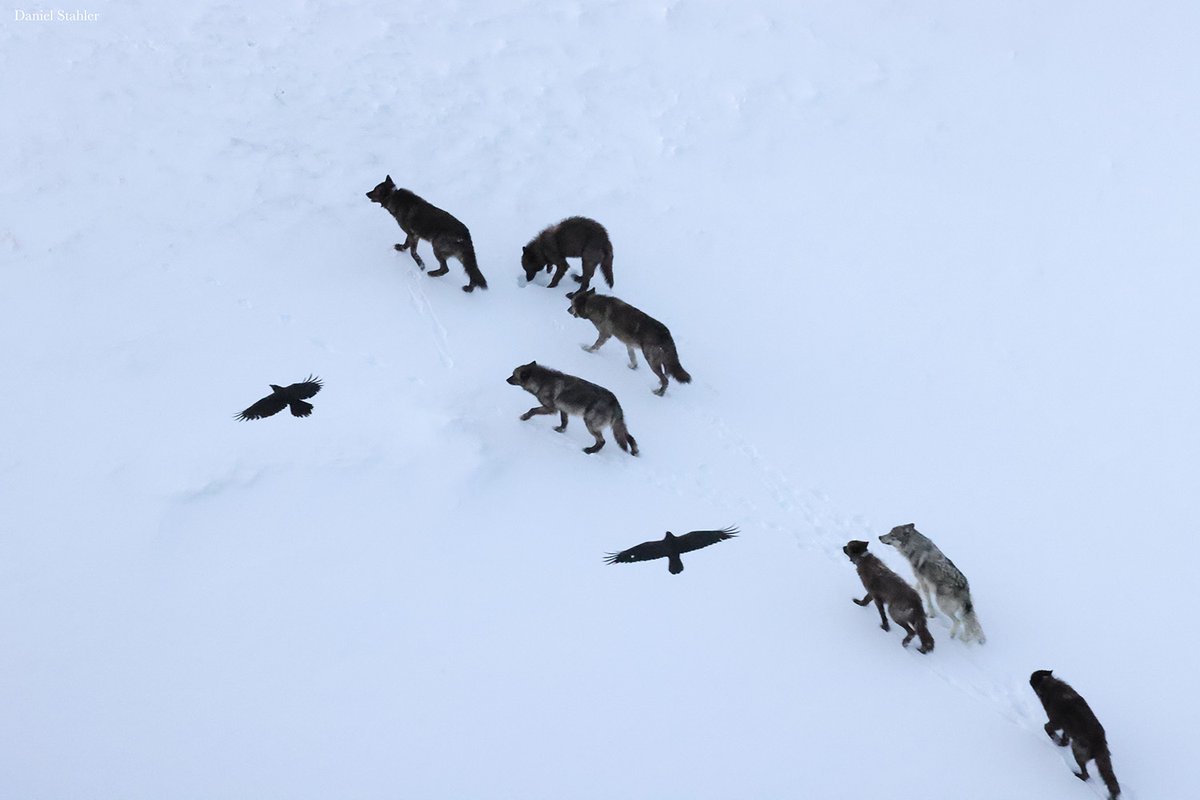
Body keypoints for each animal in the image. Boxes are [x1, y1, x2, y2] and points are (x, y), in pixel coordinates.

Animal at [506, 361, 638, 455]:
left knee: (602, 441)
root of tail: (615, 401)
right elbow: (564, 422)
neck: (542, 381)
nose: (506, 379)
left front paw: (524, 417)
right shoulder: (563, 410)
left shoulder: (550, 409)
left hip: (590, 423)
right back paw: (635, 451)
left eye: (513, 375)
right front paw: (560, 430)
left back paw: (590, 451)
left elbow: (532, 410)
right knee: (629, 437)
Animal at [1030, 670, 1121, 799]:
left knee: (1086, 775)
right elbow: (1065, 738)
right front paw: (1061, 743)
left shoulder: (1055, 722)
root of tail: (1100, 744)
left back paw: (1077, 775)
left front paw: (1055, 739)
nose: (1029, 678)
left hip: (1077, 750)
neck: (1050, 685)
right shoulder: (1066, 729)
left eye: (1033, 678)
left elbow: (1047, 728)